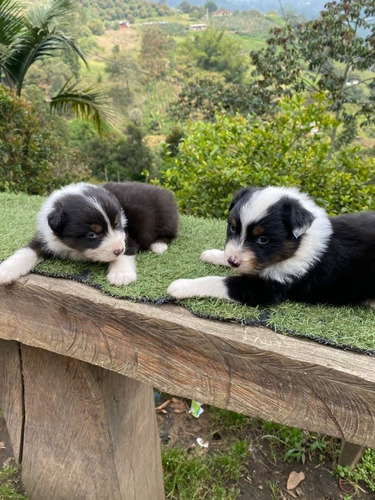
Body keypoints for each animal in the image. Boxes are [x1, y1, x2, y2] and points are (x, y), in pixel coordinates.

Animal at [0, 182, 179, 288]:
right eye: (92, 235)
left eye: (117, 224)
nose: (118, 250)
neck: (75, 249)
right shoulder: (45, 238)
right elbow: (27, 252)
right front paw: (5, 270)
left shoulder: (127, 237)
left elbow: (125, 253)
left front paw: (121, 275)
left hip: (165, 215)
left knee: (171, 233)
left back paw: (158, 245)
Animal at [170, 187, 375, 306]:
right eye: (233, 228)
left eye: (263, 240)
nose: (233, 262)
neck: (299, 245)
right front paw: (213, 254)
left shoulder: (268, 289)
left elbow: (220, 281)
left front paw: (180, 286)